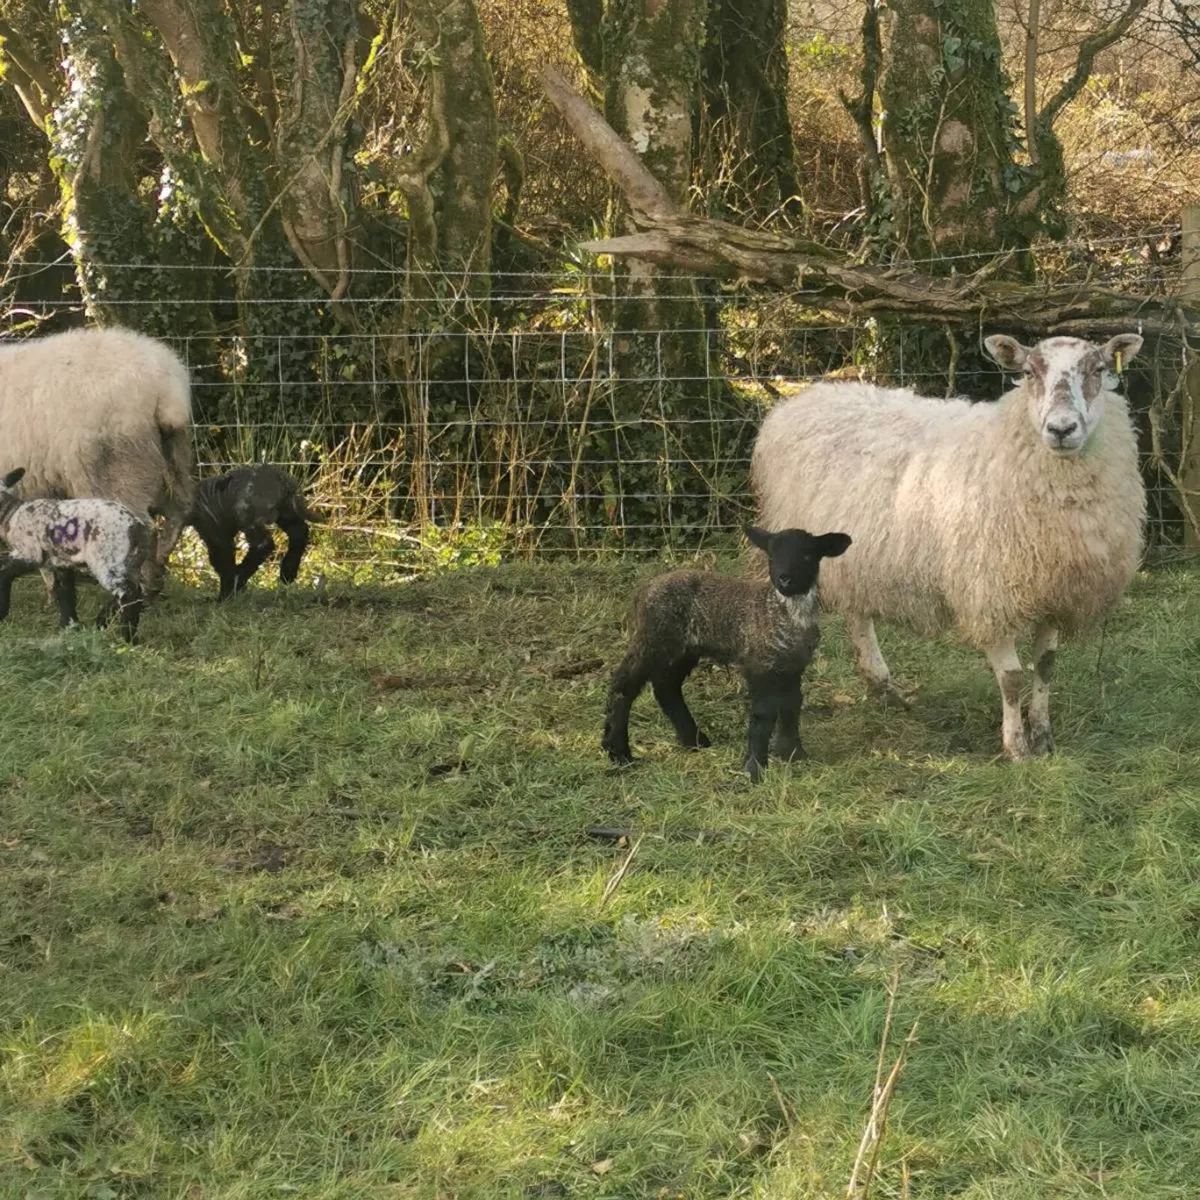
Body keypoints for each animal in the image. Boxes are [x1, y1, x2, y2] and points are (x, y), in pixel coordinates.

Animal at [0, 325, 194, 623]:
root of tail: (166, 389)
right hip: (171, 458)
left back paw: (126, 600)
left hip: (116, 469)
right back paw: (154, 580)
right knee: (180, 513)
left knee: (144, 528)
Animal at [0, 468, 150, 642]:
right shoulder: (59, 562)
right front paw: (69, 626)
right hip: (132, 563)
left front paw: (2, 612)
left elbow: (4, 573)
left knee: (128, 594)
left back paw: (126, 638)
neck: (11, 515)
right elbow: (66, 593)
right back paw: (103, 625)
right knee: (138, 591)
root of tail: (136, 527)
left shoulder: (29, 553)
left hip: (108, 560)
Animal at [187, 465, 311, 599]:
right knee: (299, 531)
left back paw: (238, 580)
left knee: (264, 544)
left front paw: (226, 593)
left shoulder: (215, 532)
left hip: (248, 516)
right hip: (285, 511)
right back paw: (288, 572)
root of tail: (282, 478)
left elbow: (222, 562)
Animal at [602, 526, 852, 781]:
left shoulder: (792, 666)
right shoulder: (759, 664)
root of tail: (644, 590)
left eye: (807, 556)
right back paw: (618, 752)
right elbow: (763, 714)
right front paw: (755, 768)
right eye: (771, 557)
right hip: (653, 639)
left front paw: (793, 753)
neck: (782, 612)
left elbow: (792, 705)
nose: (785, 579)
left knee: (666, 687)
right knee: (624, 686)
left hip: (684, 648)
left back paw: (694, 741)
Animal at [750, 332, 1146, 761]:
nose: (1061, 428)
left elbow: (1046, 666)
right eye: (1028, 372)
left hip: (856, 557)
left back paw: (883, 687)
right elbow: (1012, 678)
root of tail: (805, 397)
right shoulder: (989, 593)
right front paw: (1016, 748)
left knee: (858, 615)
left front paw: (1043, 737)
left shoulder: (1055, 591)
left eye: (1098, 369)